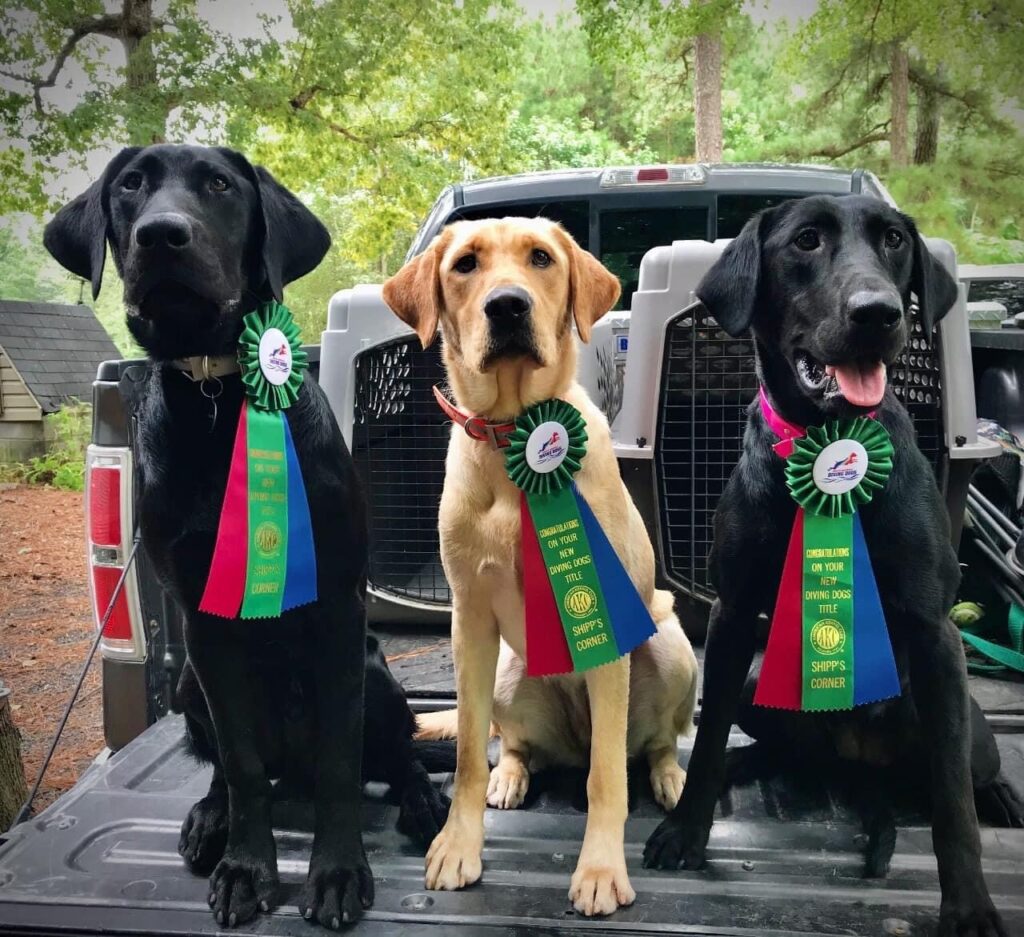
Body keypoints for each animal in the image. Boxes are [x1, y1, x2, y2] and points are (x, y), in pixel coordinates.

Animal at [44, 144, 446, 929]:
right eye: (130, 186)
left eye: (220, 185)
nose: (162, 236)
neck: (217, 397)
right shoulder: (205, 625)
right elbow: (241, 765)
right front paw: (246, 868)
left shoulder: (339, 612)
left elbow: (341, 766)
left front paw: (337, 872)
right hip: (192, 684)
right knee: (236, 770)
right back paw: (210, 817)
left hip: (375, 674)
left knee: (397, 755)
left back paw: (423, 801)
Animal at [382, 218, 696, 917]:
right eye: (465, 264)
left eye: (542, 259)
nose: (507, 306)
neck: (514, 435)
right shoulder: (471, 623)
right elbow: (470, 753)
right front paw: (459, 844)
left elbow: (609, 777)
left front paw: (600, 869)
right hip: (507, 673)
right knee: (515, 742)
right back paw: (511, 776)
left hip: (667, 645)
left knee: (652, 744)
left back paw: (670, 777)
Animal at [647, 194, 1007, 933]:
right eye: (805, 241)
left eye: (894, 241)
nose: (878, 314)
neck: (831, 441)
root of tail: (858, 764)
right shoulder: (733, 615)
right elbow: (710, 727)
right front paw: (688, 830)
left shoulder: (935, 634)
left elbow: (953, 801)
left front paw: (968, 905)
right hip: (762, 682)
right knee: (771, 748)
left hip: (966, 727)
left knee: (964, 776)